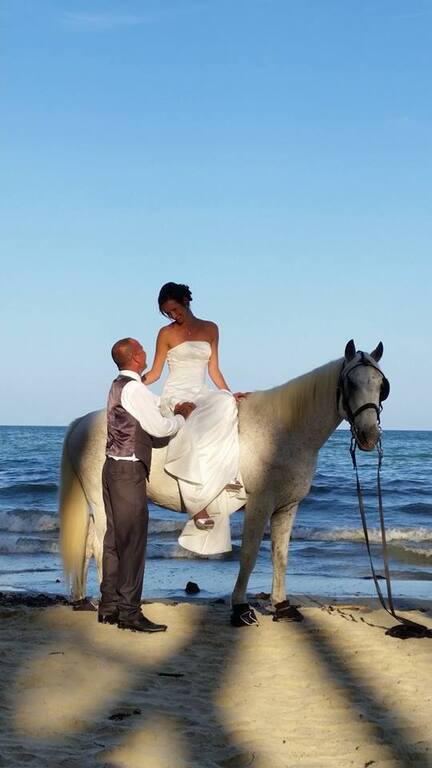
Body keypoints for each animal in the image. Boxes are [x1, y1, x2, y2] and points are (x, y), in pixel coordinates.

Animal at [59, 339, 389, 624]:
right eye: (350, 383)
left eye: (380, 385)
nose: (369, 435)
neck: (281, 431)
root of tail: (81, 422)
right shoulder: (259, 504)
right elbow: (249, 555)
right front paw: (240, 607)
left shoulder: (287, 507)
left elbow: (280, 557)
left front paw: (282, 606)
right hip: (102, 500)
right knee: (101, 545)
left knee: (88, 546)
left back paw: (82, 600)